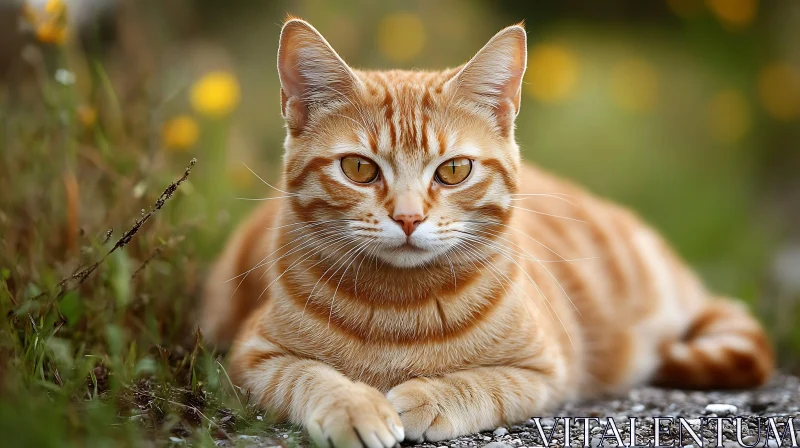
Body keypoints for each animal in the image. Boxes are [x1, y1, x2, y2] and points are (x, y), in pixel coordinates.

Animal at [202, 18, 776, 448]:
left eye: (453, 170)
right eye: (359, 169)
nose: (407, 218)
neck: (398, 308)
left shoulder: (544, 370)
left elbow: (480, 384)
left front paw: (421, 397)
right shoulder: (249, 357)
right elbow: (308, 376)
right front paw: (355, 406)